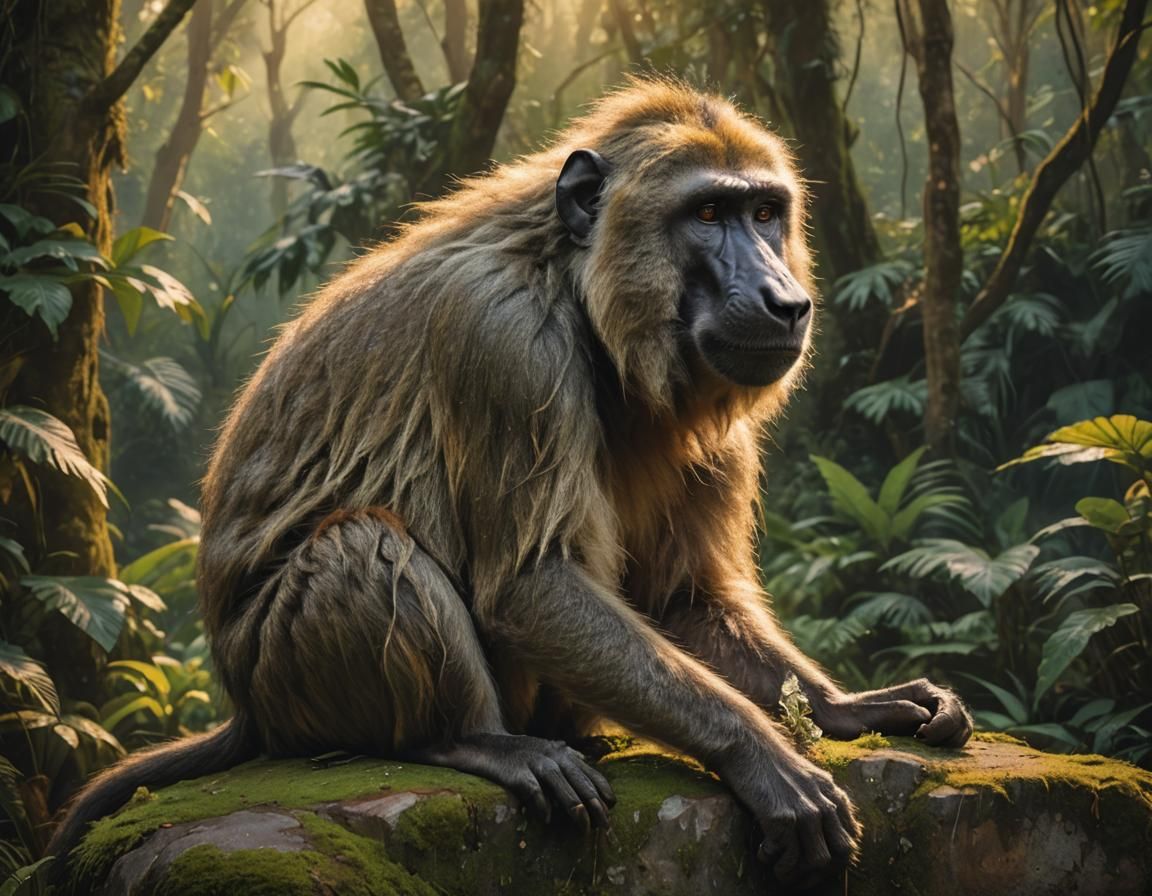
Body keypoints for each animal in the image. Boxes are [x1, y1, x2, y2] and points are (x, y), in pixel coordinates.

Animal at [49, 79, 972, 888]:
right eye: (709, 214)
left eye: (765, 212)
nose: (784, 299)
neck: (577, 287)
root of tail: (246, 702)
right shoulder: (503, 345)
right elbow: (530, 585)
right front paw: (756, 753)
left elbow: (680, 597)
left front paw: (843, 708)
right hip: (283, 671)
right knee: (363, 542)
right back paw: (460, 741)